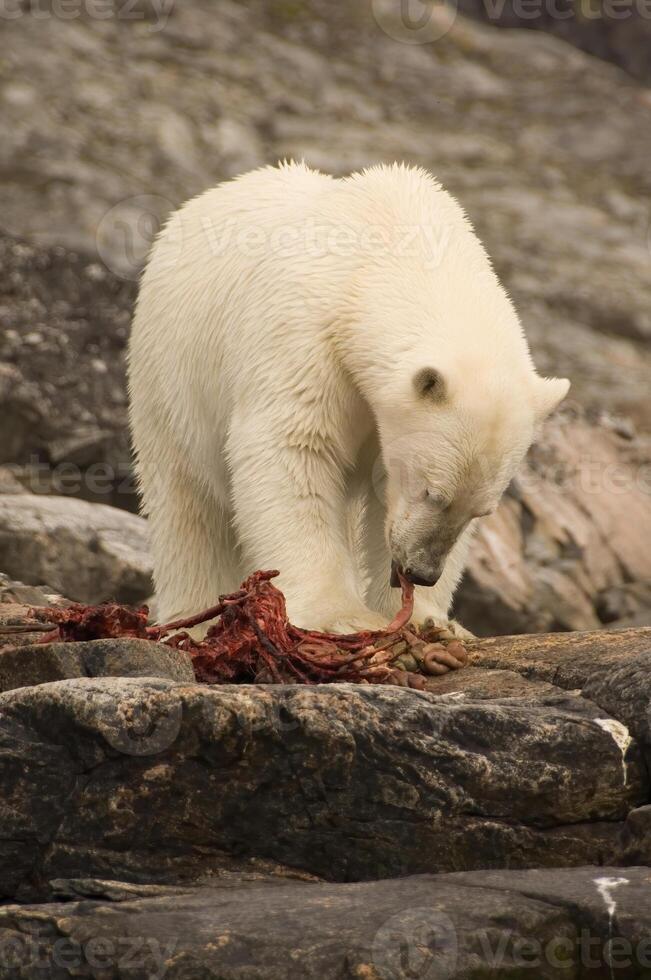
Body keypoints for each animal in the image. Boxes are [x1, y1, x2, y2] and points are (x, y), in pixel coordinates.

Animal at [127, 163, 564, 636]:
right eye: (433, 493)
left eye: (481, 512)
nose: (421, 571)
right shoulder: (305, 340)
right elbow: (294, 449)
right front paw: (342, 617)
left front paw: (430, 621)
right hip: (170, 376)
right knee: (187, 505)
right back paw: (192, 621)